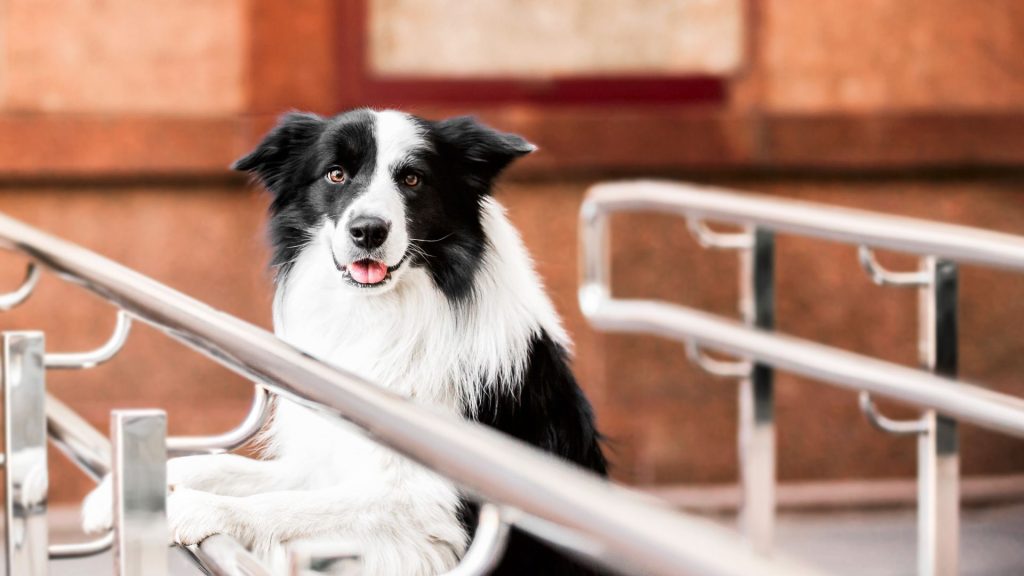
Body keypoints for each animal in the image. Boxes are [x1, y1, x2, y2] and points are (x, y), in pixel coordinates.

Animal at [83, 108, 606, 573]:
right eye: (335, 174)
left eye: (412, 179)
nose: (368, 231)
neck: (381, 316)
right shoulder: (325, 459)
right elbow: (225, 467)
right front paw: (116, 494)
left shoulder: (429, 508)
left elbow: (291, 507)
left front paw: (195, 509)